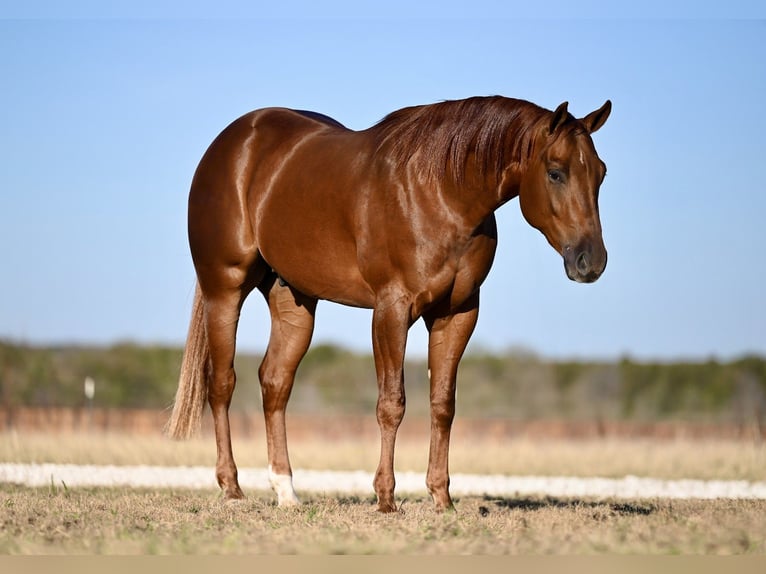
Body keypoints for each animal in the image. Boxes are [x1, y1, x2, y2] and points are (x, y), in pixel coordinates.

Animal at [166, 97, 612, 516]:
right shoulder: (392, 309)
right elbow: (391, 403)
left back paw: (286, 491)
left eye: (601, 172)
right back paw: (232, 488)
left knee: (275, 383)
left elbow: (443, 405)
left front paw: (442, 499)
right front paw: (385, 498)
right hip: (224, 288)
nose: (591, 261)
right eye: (556, 171)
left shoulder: (457, 313)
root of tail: (233, 141)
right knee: (221, 383)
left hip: (293, 298)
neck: (443, 193)